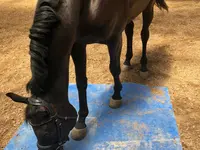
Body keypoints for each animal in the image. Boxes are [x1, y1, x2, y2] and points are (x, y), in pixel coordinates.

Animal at [5, 0, 167, 149]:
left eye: (48, 130)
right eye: (33, 129)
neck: (87, 5)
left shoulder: (113, 38)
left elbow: (114, 69)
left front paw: (116, 96)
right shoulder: (78, 44)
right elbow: (81, 82)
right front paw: (81, 123)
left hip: (148, 8)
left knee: (144, 34)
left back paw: (144, 67)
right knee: (129, 29)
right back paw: (127, 60)